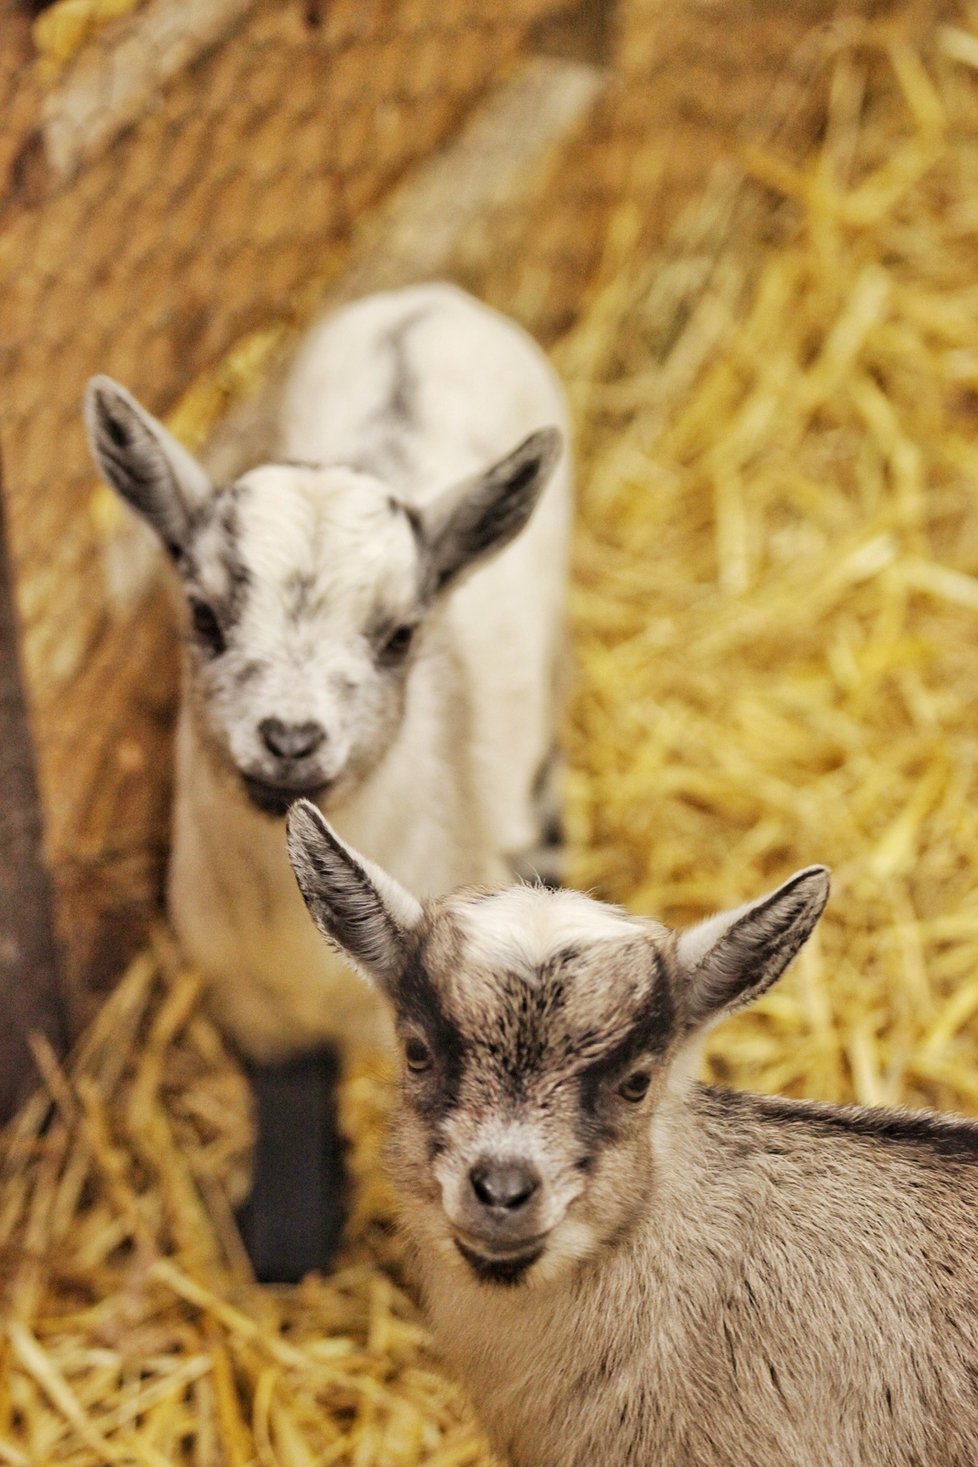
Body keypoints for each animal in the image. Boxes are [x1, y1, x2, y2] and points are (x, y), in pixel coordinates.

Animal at [86, 280, 574, 1279]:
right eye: (203, 614)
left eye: (400, 635)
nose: (290, 736)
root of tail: (432, 303)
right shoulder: (246, 996)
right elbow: (287, 1104)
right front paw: (284, 1240)